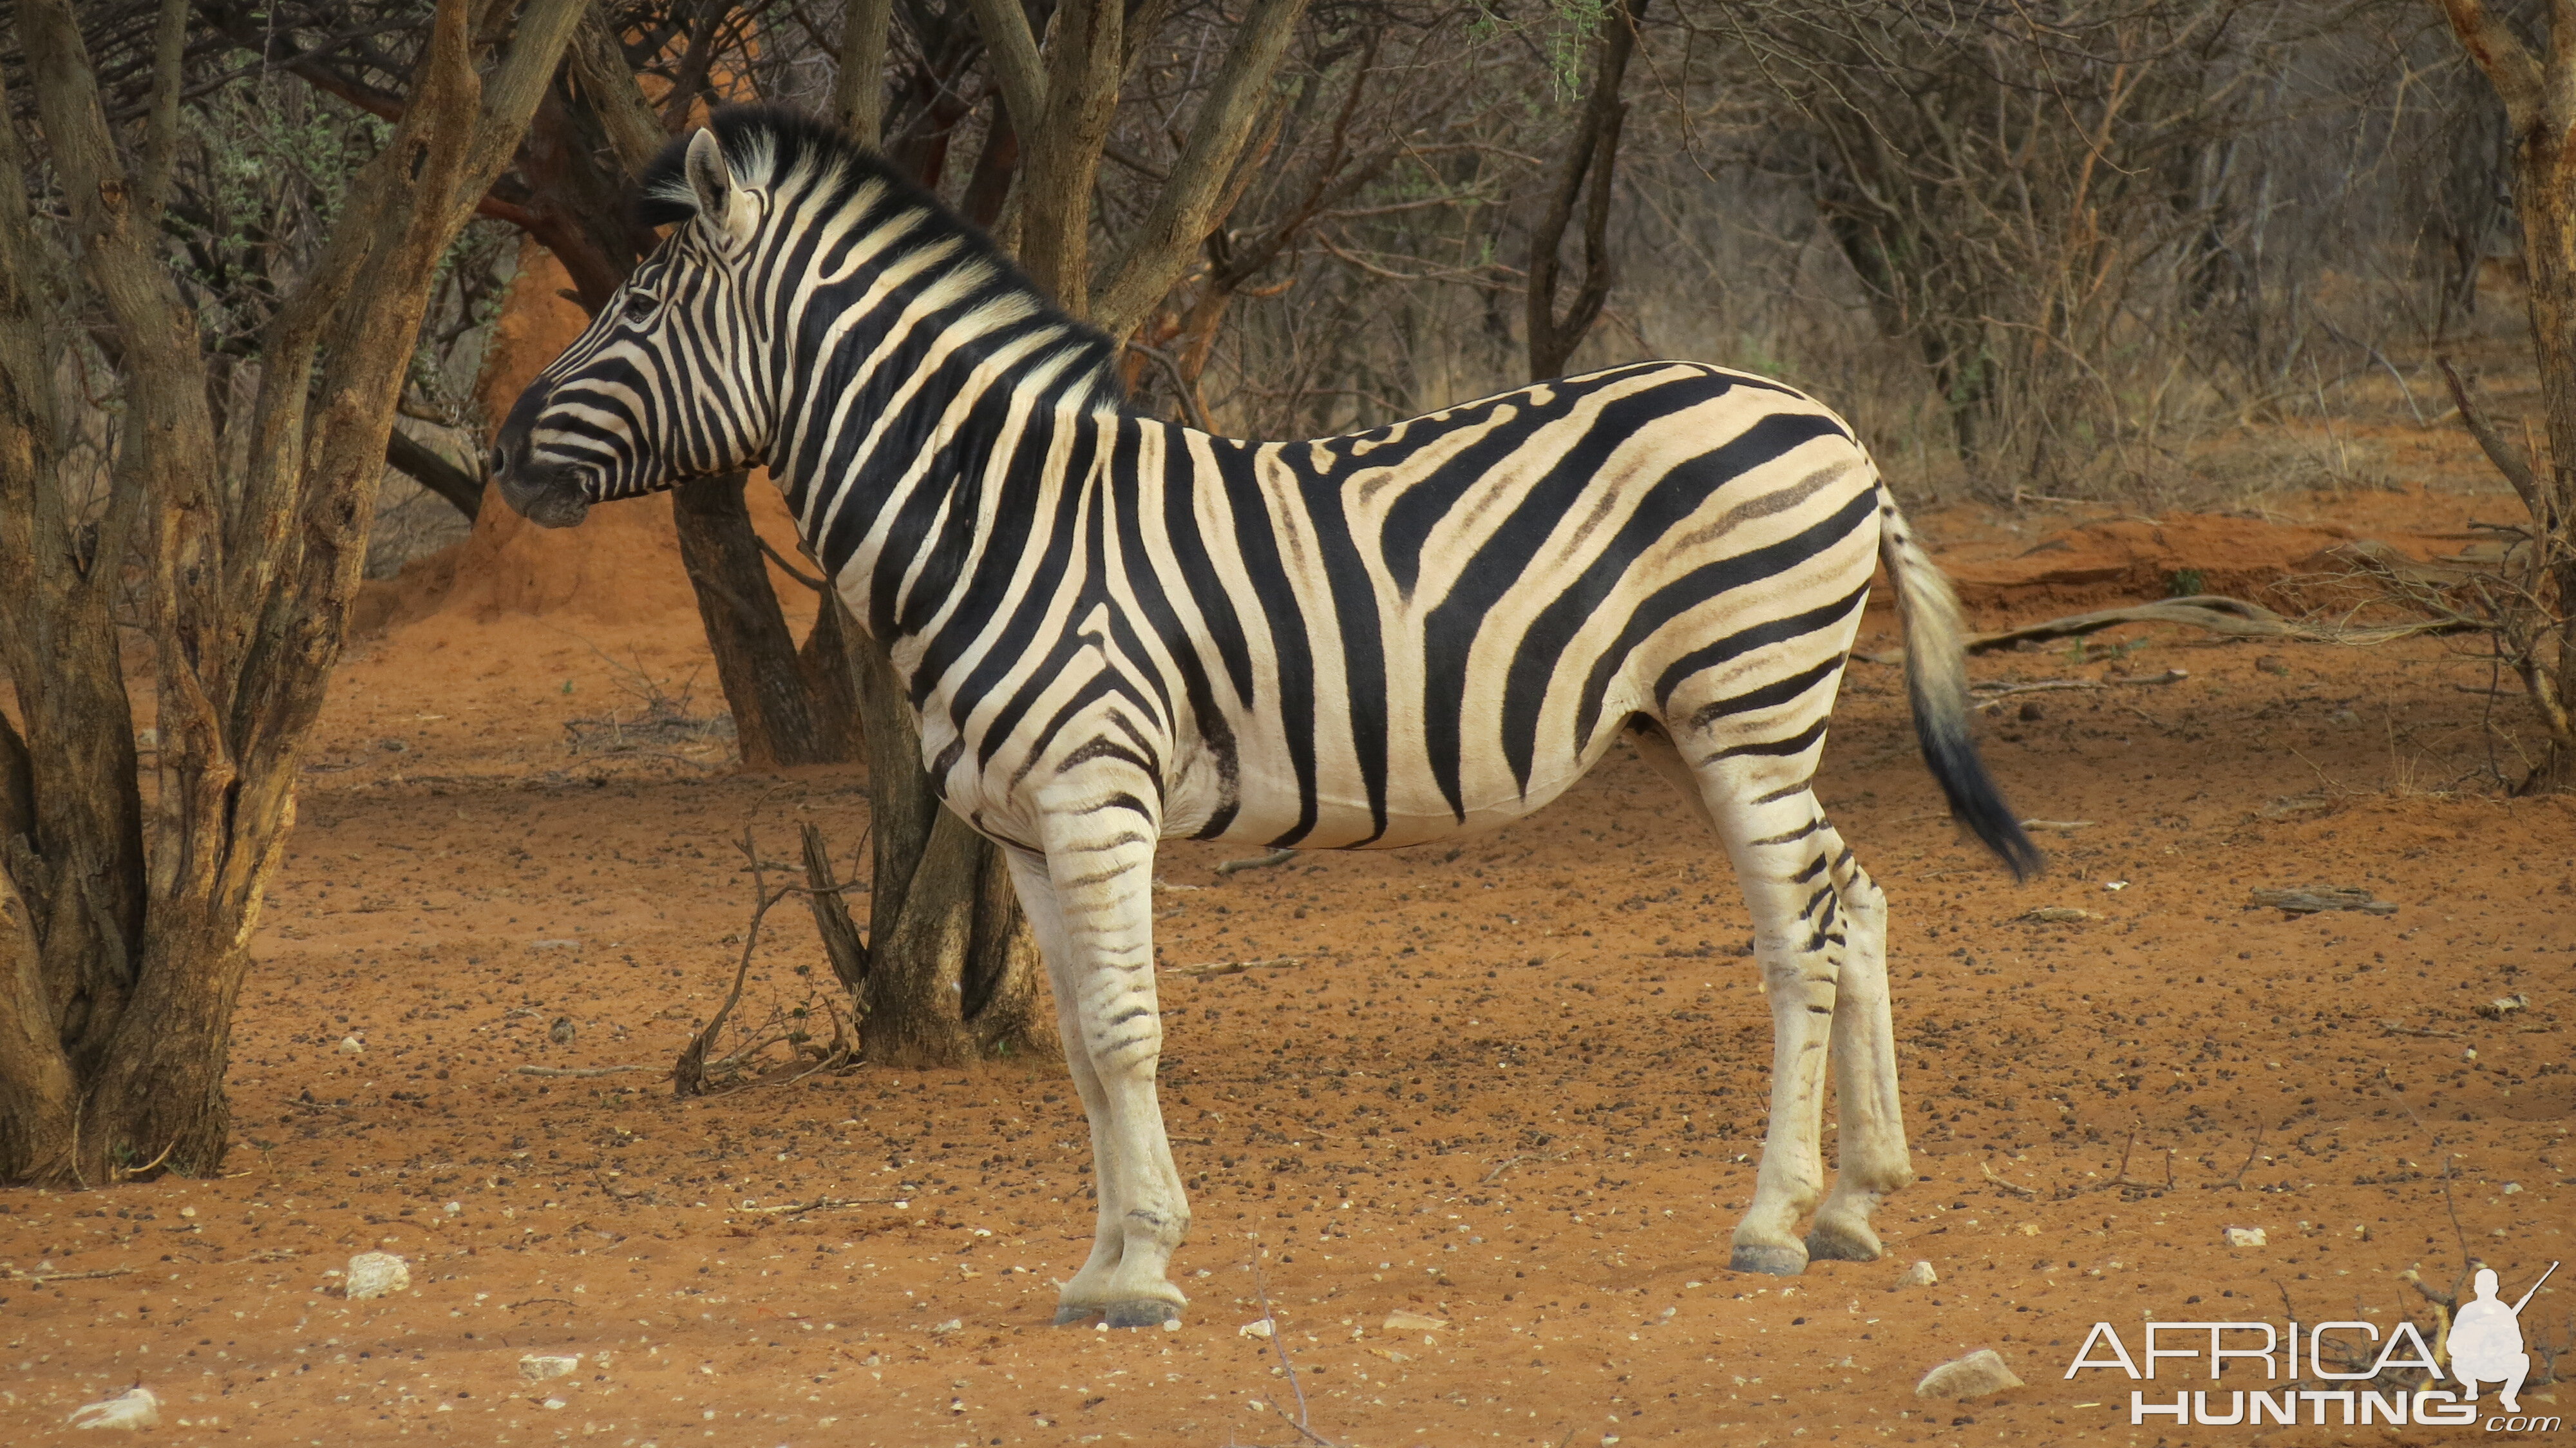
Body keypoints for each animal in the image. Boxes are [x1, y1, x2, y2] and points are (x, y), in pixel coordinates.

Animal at [497, 107, 2030, 1329]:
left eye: (638, 310)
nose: (505, 450)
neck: (994, 518)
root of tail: (1827, 421)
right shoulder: (1026, 828)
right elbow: (1076, 1041)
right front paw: (1101, 1263)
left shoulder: (1095, 793)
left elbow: (1125, 1029)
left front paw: (1142, 1272)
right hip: (1722, 715)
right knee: (1856, 895)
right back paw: (1858, 1198)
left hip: (1743, 702)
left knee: (1799, 932)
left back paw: (1774, 1218)